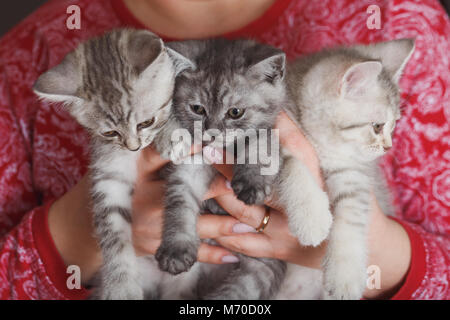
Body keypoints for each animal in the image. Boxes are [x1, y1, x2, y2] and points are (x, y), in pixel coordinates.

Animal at [32, 28, 192, 298]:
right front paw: (120, 285)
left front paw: (171, 135)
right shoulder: (108, 177)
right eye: (109, 133)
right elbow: (113, 234)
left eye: (146, 122)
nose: (133, 147)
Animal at [280, 38, 416, 298]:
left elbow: (351, 215)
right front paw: (310, 217)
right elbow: (290, 163)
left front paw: (344, 273)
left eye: (394, 126)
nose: (388, 147)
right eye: (377, 126)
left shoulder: (352, 172)